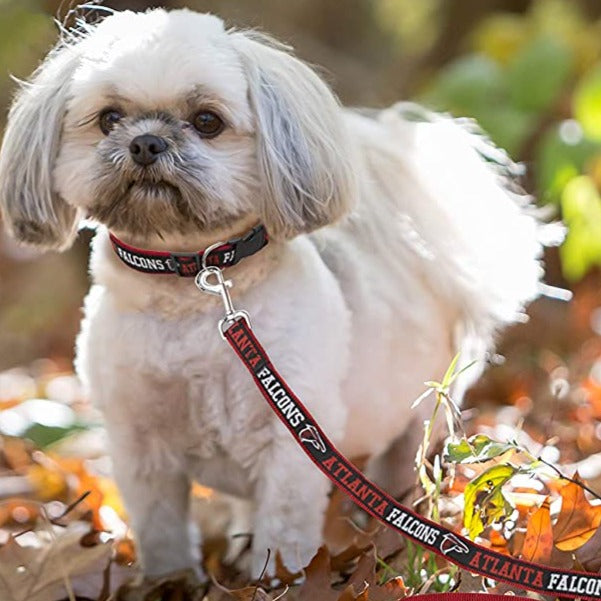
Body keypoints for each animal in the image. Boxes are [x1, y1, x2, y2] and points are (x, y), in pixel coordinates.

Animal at [0, 8, 544, 580]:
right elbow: (162, 529)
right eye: (108, 118)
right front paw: (172, 581)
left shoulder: (291, 441)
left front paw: (278, 579)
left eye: (207, 121)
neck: (192, 286)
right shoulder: (139, 444)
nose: (146, 143)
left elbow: (283, 531)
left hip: (418, 416)